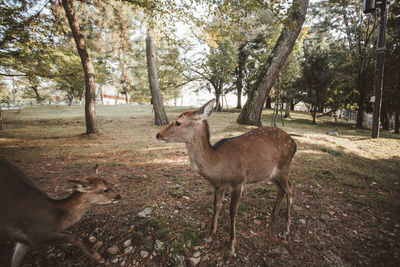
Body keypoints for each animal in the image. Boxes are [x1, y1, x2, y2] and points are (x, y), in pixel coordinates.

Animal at [156, 99, 296, 256]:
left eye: (178, 122)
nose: (158, 134)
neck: (217, 167)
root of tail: (294, 143)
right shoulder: (218, 186)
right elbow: (216, 206)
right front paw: (209, 236)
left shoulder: (239, 182)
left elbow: (232, 211)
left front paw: (232, 246)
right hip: (271, 174)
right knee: (282, 190)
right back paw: (271, 217)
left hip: (284, 167)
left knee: (290, 189)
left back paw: (286, 230)